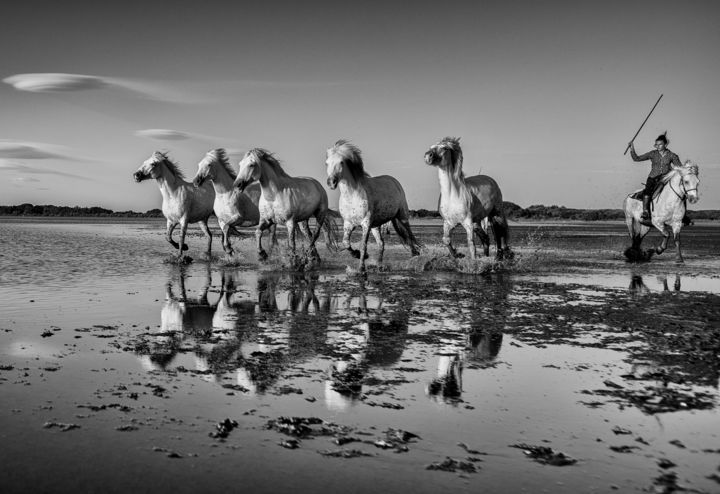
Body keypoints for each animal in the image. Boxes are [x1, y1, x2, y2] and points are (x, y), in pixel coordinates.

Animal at [324, 139, 420, 270]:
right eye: (326, 163)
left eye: (341, 162)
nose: (331, 182)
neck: (352, 196)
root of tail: (394, 181)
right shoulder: (348, 224)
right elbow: (346, 243)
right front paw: (357, 255)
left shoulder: (366, 224)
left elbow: (363, 245)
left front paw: (361, 268)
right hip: (376, 226)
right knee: (381, 243)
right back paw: (379, 265)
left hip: (402, 217)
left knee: (409, 236)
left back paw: (415, 254)